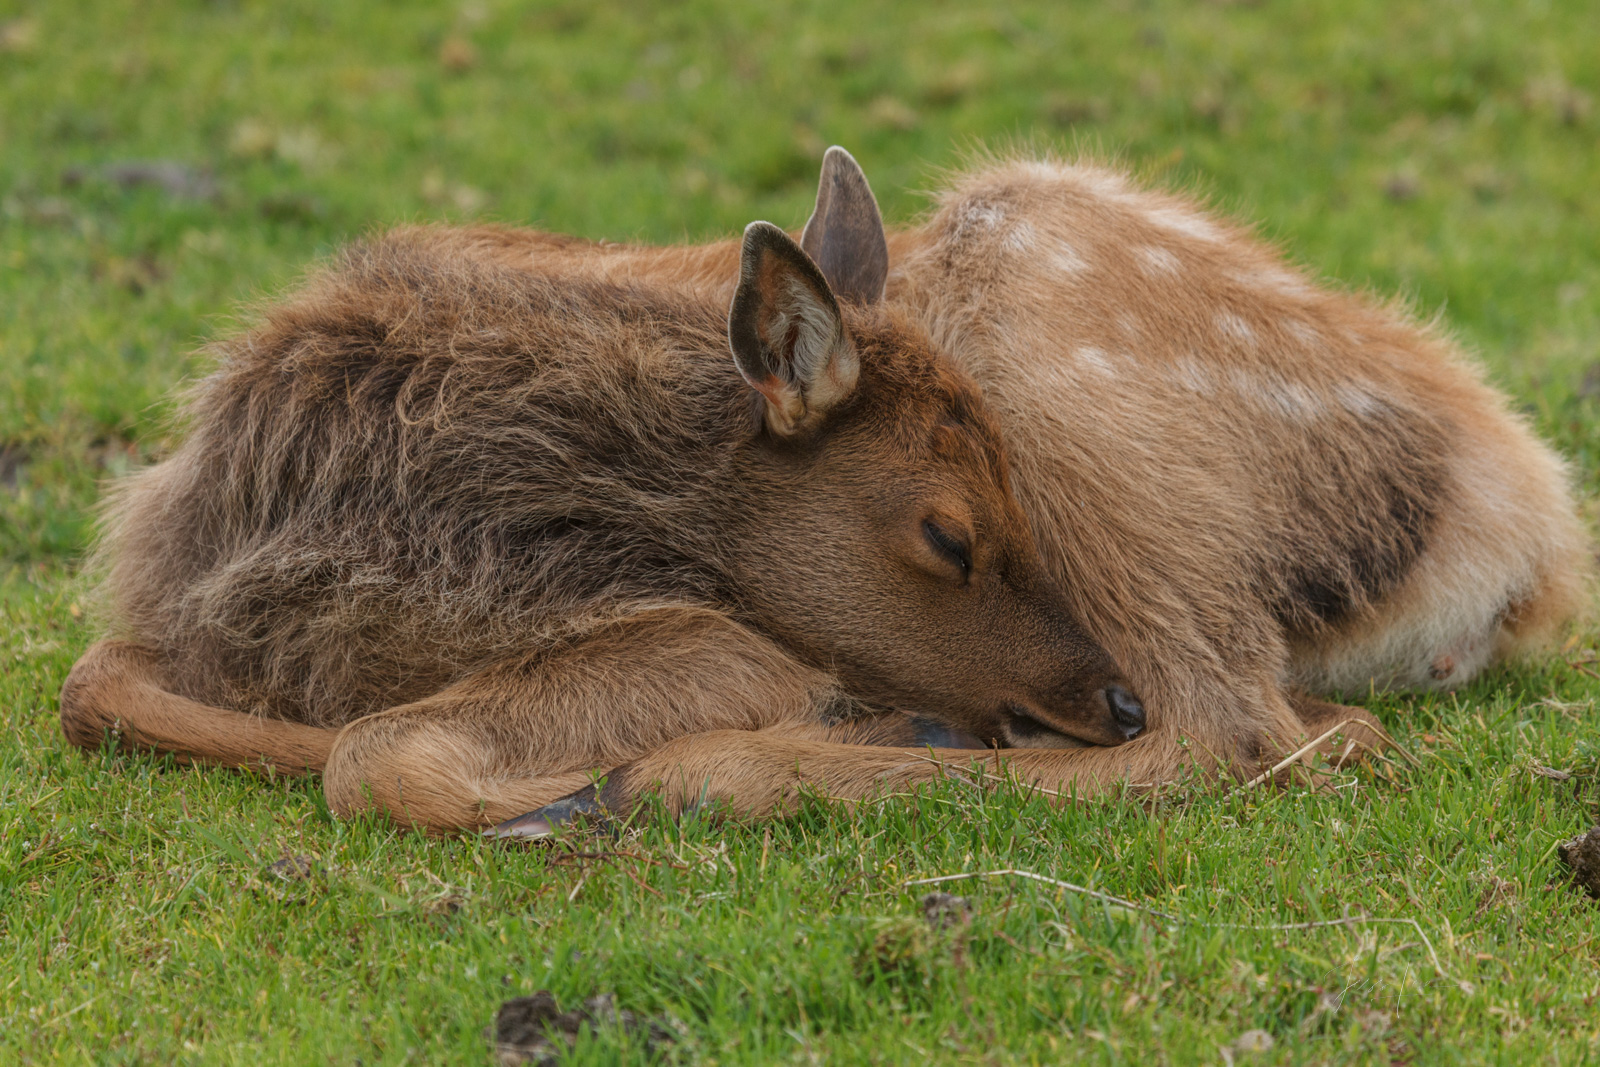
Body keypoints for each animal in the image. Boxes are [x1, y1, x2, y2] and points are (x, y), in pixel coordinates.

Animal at [56, 220, 1152, 831]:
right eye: (949, 536)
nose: (1124, 701)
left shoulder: (726, 643)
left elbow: (358, 748)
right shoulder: (729, 639)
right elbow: (103, 685)